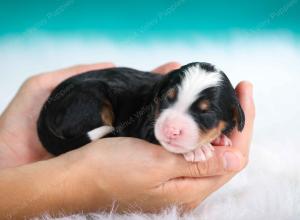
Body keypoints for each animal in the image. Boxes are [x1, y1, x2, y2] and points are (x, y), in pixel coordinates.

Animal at [37, 62, 244, 162]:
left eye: (206, 113)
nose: (171, 130)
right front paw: (199, 150)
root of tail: (46, 108)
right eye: (167, 98)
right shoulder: (144, 126)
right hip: (90, 98)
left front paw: (219, 138)